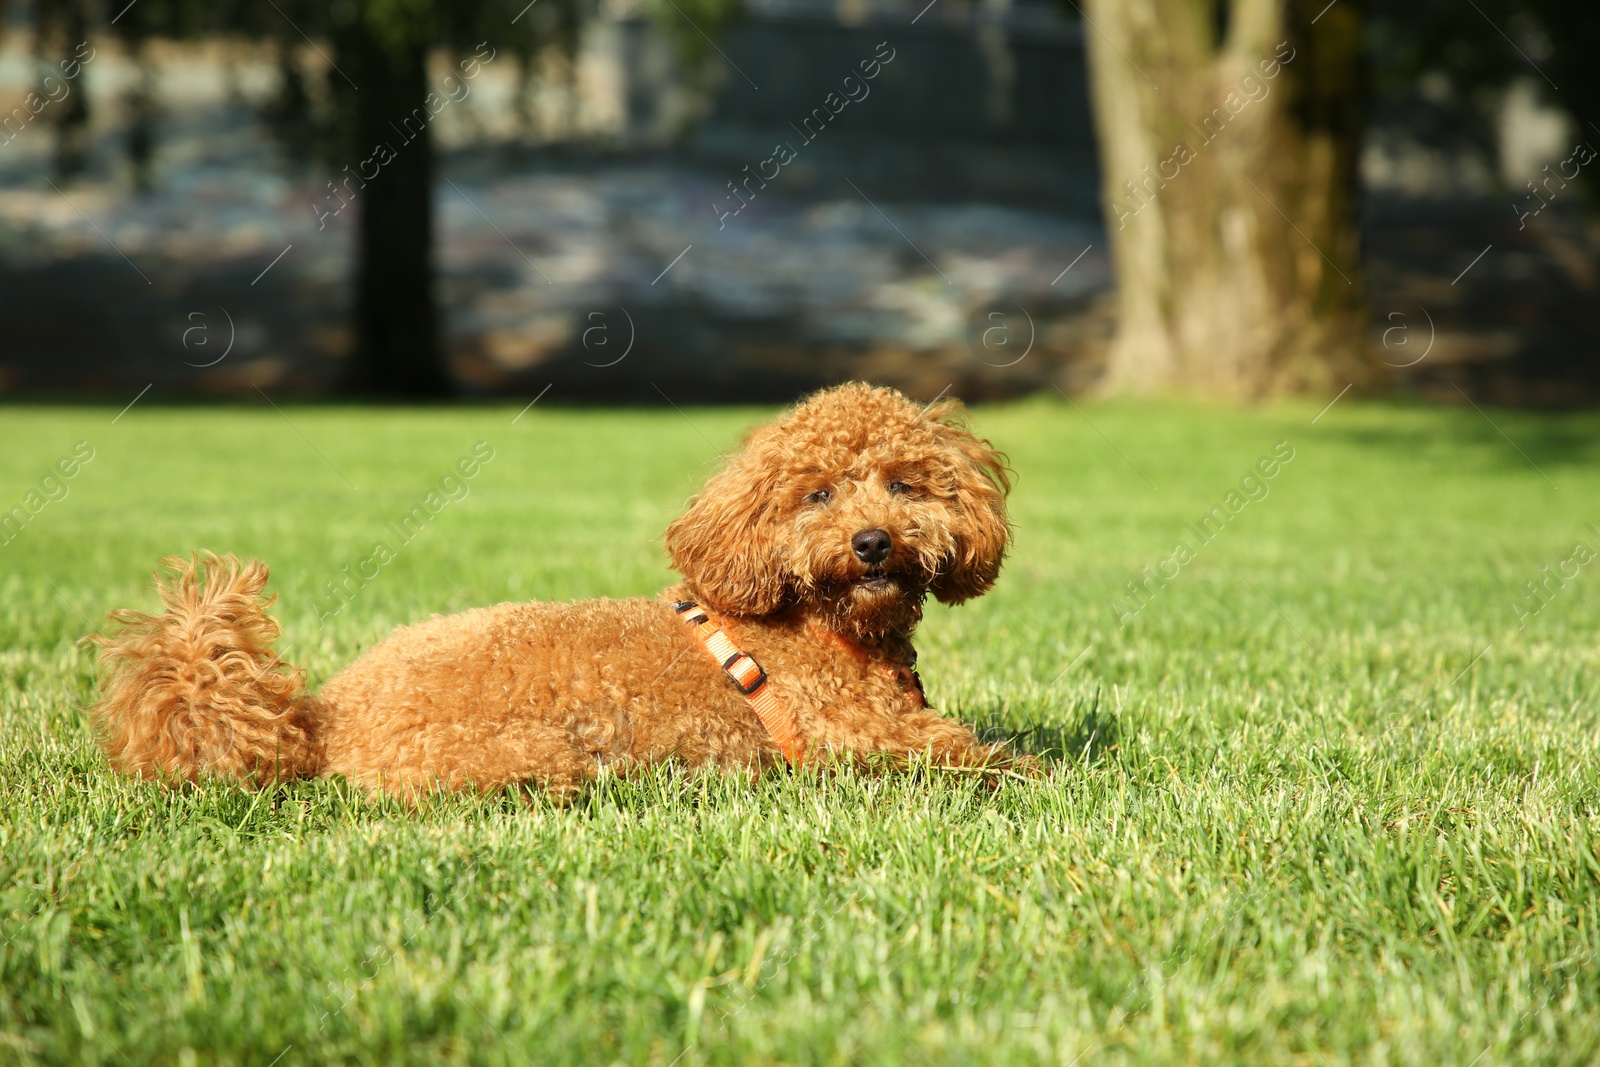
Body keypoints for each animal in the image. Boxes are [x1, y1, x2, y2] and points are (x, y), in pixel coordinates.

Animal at [87, 379, 1017, 796]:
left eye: (904, 484)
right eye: (816, 493)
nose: (873, 542)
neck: (814, 621)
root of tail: (319, 715)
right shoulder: (860, 736)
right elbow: (980, 756)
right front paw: (1037, 777)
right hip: (528, 758)